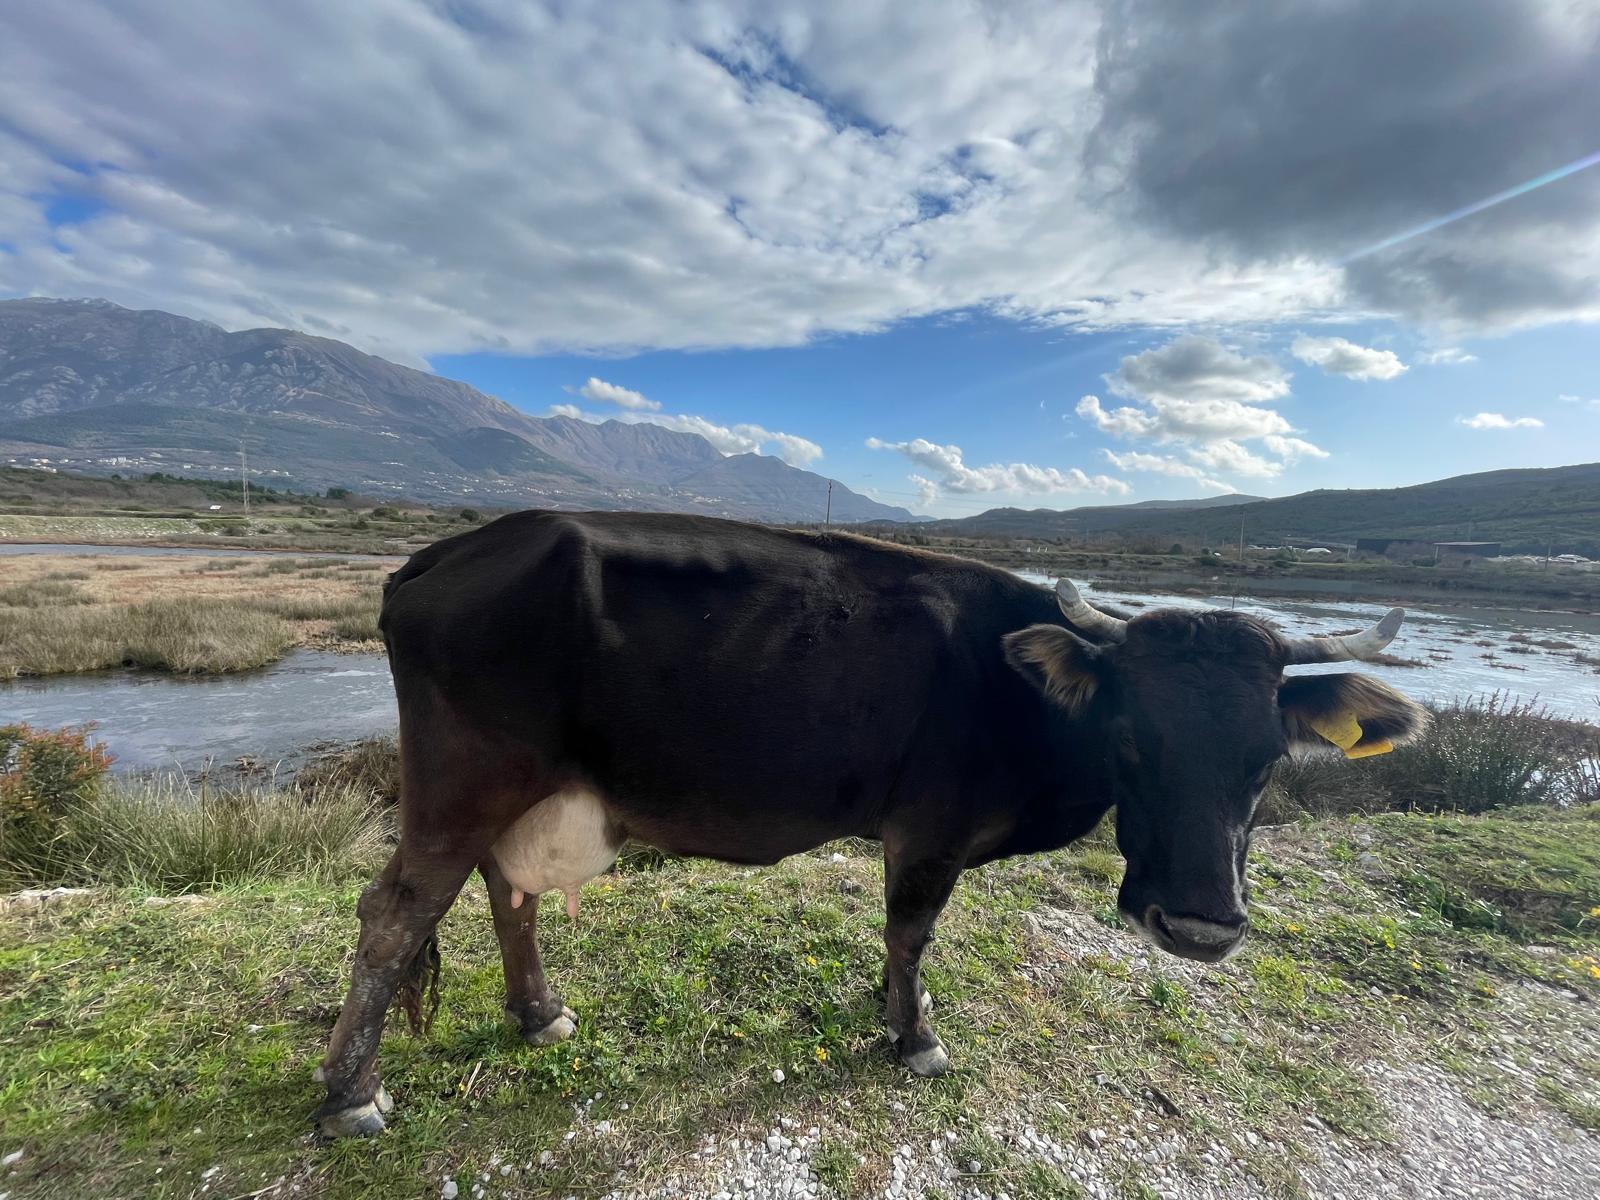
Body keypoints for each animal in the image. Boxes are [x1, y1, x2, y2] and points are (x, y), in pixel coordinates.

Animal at [314, 510, 1427, 1137]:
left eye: (1268, 758)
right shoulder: (928, 831)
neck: (1020, 691)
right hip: (463, 782)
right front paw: (914, 1033)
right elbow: (911, 931)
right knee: (393, 915)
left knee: (508, 892)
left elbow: (900, 941)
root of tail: (442, 555)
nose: (1198, 926)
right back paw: (350, 1097)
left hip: (523, 792)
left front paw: (891, 1008)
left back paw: (538, 1013)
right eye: (1131, 740)